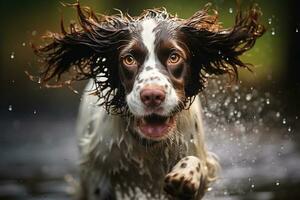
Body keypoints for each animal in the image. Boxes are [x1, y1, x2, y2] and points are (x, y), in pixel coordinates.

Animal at [32, 2, 264, 199]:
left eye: (174, 57)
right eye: (129, 59)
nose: (152, 95)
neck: (149, 144)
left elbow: (195, 163)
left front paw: (184, 175)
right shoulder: (98, 173)